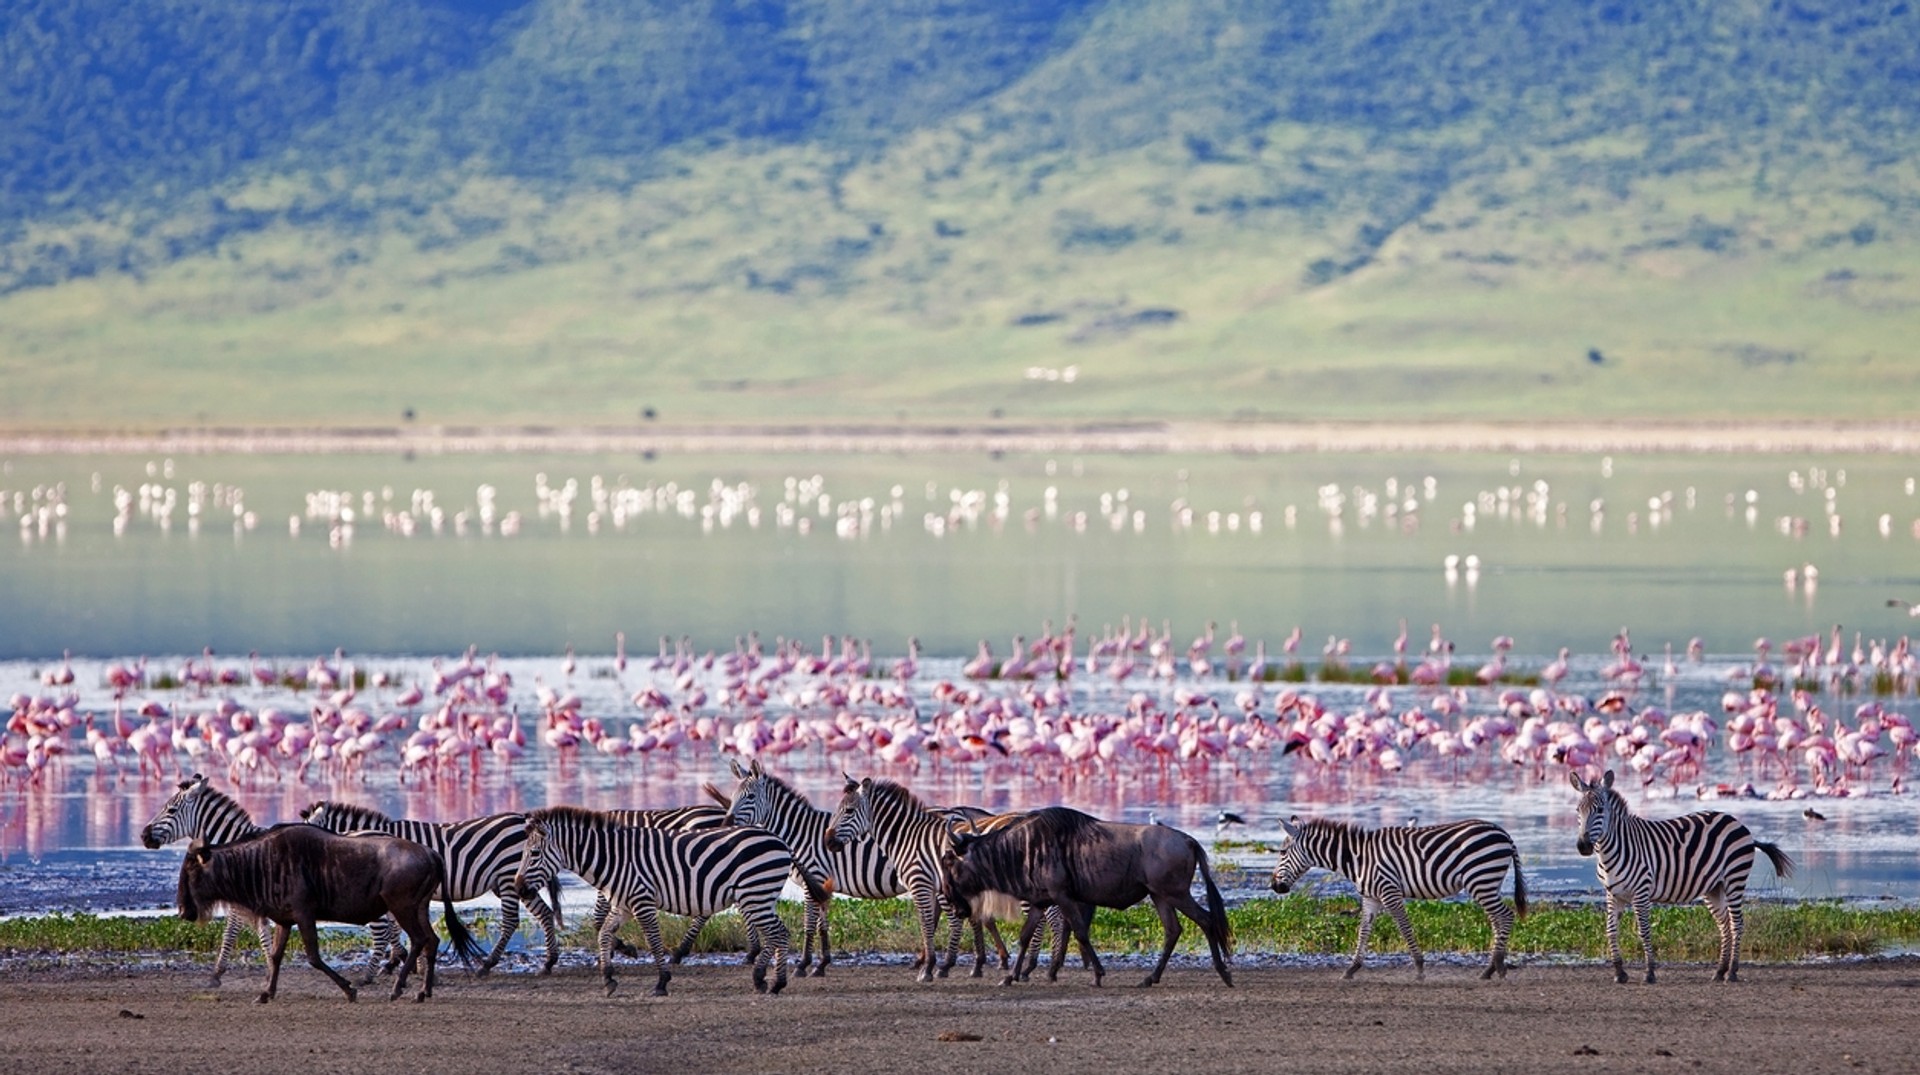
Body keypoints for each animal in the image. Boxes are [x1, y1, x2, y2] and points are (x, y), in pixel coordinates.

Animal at [299, 800, 561, 976]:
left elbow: (393, 928)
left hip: (508, 878)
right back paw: (549, 961)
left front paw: (400, 961)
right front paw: (403, 960)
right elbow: (396, 927)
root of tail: (523, 818)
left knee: (510, 921)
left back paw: (487, 965)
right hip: (518, 882)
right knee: (544, 913)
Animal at [513, 805, 824, 996]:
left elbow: (653, 940)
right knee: (776, 934)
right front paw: (608, 978)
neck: (615, 857)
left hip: (755, 894)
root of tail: (780, 841)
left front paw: (661, 982)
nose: (518, 888)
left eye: (535, 854)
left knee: (780, 933)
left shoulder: (642, 900)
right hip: (758, 896)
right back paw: (761, 979)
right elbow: (603, 935)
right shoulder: (623, 906)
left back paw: (776, 983)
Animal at [1270, 814, 1528, 980]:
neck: (1357, 858)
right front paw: (1352, 969)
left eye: (1282, 852)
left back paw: (1497, 967)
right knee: (1497, 919)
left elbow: (1404, 927)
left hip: (1480, 879)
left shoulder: (1389, 892)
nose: (1274, 886)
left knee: (1505, 916)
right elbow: (1363, 931)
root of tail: (1503, 833)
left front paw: (1420, 968)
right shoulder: (1371, 897)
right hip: (1486, 883)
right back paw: (1490, 969)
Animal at [1570, 768, 1795, 983]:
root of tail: (1737, 823)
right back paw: (1720, 971)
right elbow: (1611, 930)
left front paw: (1650, 973)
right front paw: (1619, 973)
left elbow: (1644, 931)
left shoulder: (1641, 892)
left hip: (1734, 879)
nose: (1583, 846)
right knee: (1724, 925)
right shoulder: (1613, 894)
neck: (1612, 852)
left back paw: (1731, 972)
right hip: (1713, 888)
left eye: (1600, 810)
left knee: (1736, 924)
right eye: (1578, 810)